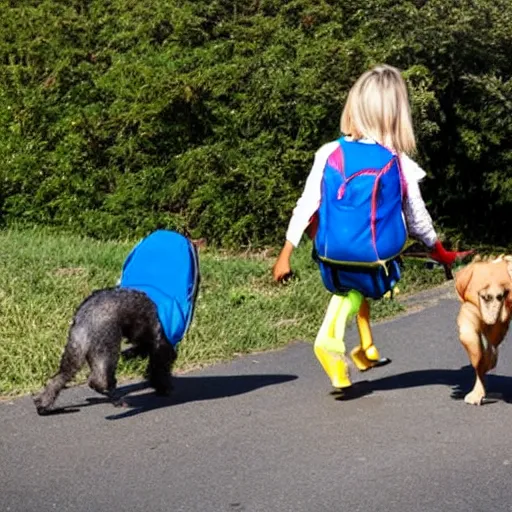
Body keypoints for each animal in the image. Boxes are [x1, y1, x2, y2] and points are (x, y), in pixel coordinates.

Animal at [32, 288, 176, 416]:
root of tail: (84, 320)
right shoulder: (160, 342)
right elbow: (160, 365)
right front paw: (163, 387)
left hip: (76, 349)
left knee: (58, 378)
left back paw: (43, 405)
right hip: (108, 348)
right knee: (99, 380)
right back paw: (116, 399)